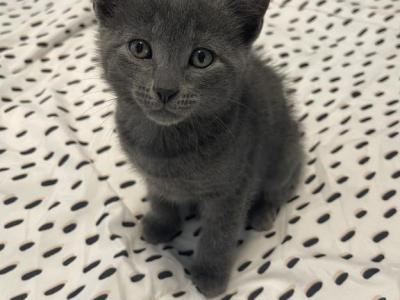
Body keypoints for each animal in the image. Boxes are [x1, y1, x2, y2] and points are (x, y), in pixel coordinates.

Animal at [94, 0, 304, 296]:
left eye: (202, 57)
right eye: (139, 48)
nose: (165, 89)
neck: (165, 144)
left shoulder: (232, 190)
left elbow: (218, 235)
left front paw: (209, 274)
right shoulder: (153, 177)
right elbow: (160, 199)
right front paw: (161, 224)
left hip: (284, 156)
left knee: (281, 186)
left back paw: (262, 213)